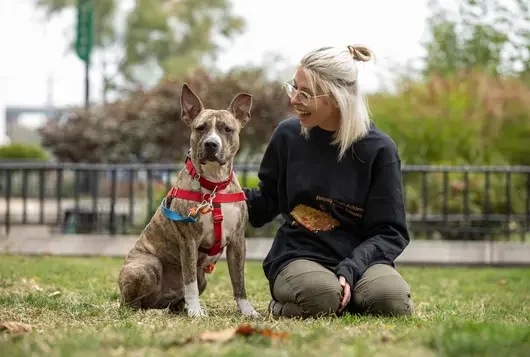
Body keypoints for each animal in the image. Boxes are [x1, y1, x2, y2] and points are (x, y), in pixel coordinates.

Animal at [118, 83, 260, 318]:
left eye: (227, 129)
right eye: (200, 128)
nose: (211, 144)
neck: (214, 186)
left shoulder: (238, 241)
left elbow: (239, 281)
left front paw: (247, 310)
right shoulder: (189, 241)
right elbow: (189, 281)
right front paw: (195, 311)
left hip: (201, 280)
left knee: (173, 300)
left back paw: (176, 308)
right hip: (146, 266)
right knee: (132, 305)